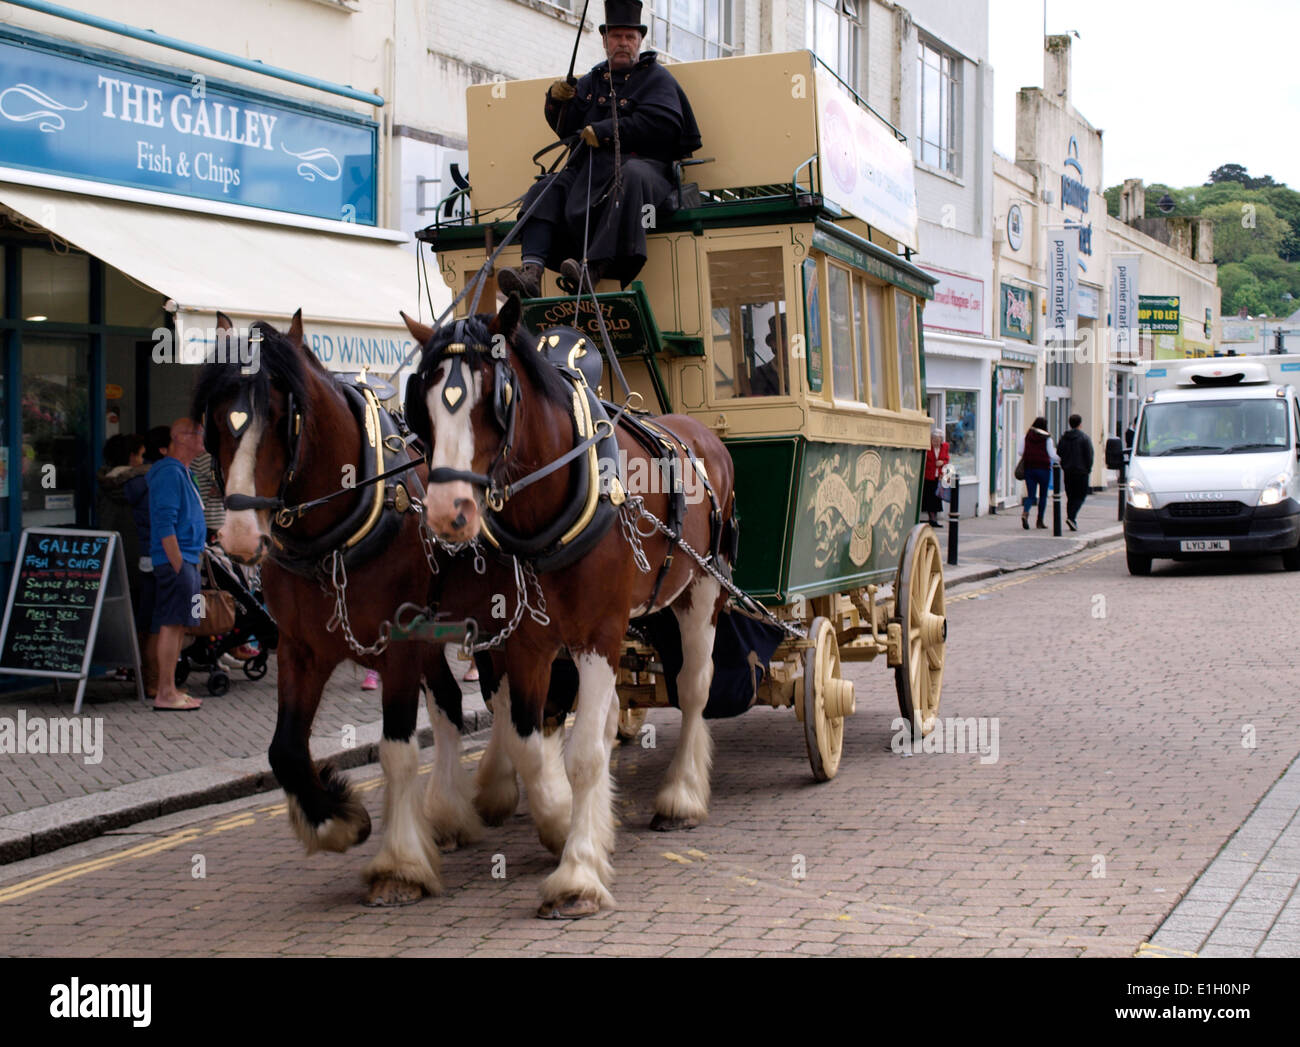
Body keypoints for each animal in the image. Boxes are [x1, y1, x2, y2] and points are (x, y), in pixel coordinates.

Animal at [189, 310, 480, 905]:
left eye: (283, 417)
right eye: (216, 420)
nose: (237, 536)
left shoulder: (399, 644)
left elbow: (396, 750)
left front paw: (399, 866)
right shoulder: (301, 650)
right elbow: (284, 750)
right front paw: (337, 820)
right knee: (448, 703)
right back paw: (450, 812)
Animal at [400, 290, 738, 910]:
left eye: (495, 398)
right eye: (424, 402)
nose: (445, 512)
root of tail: (702, 435)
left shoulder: (598, 633)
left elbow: (581, 756)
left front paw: (578, 872)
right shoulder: (526, 641)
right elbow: (530, 742)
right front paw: (561, 824)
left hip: (700, 595)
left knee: (693, 688)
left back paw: (681, 794)